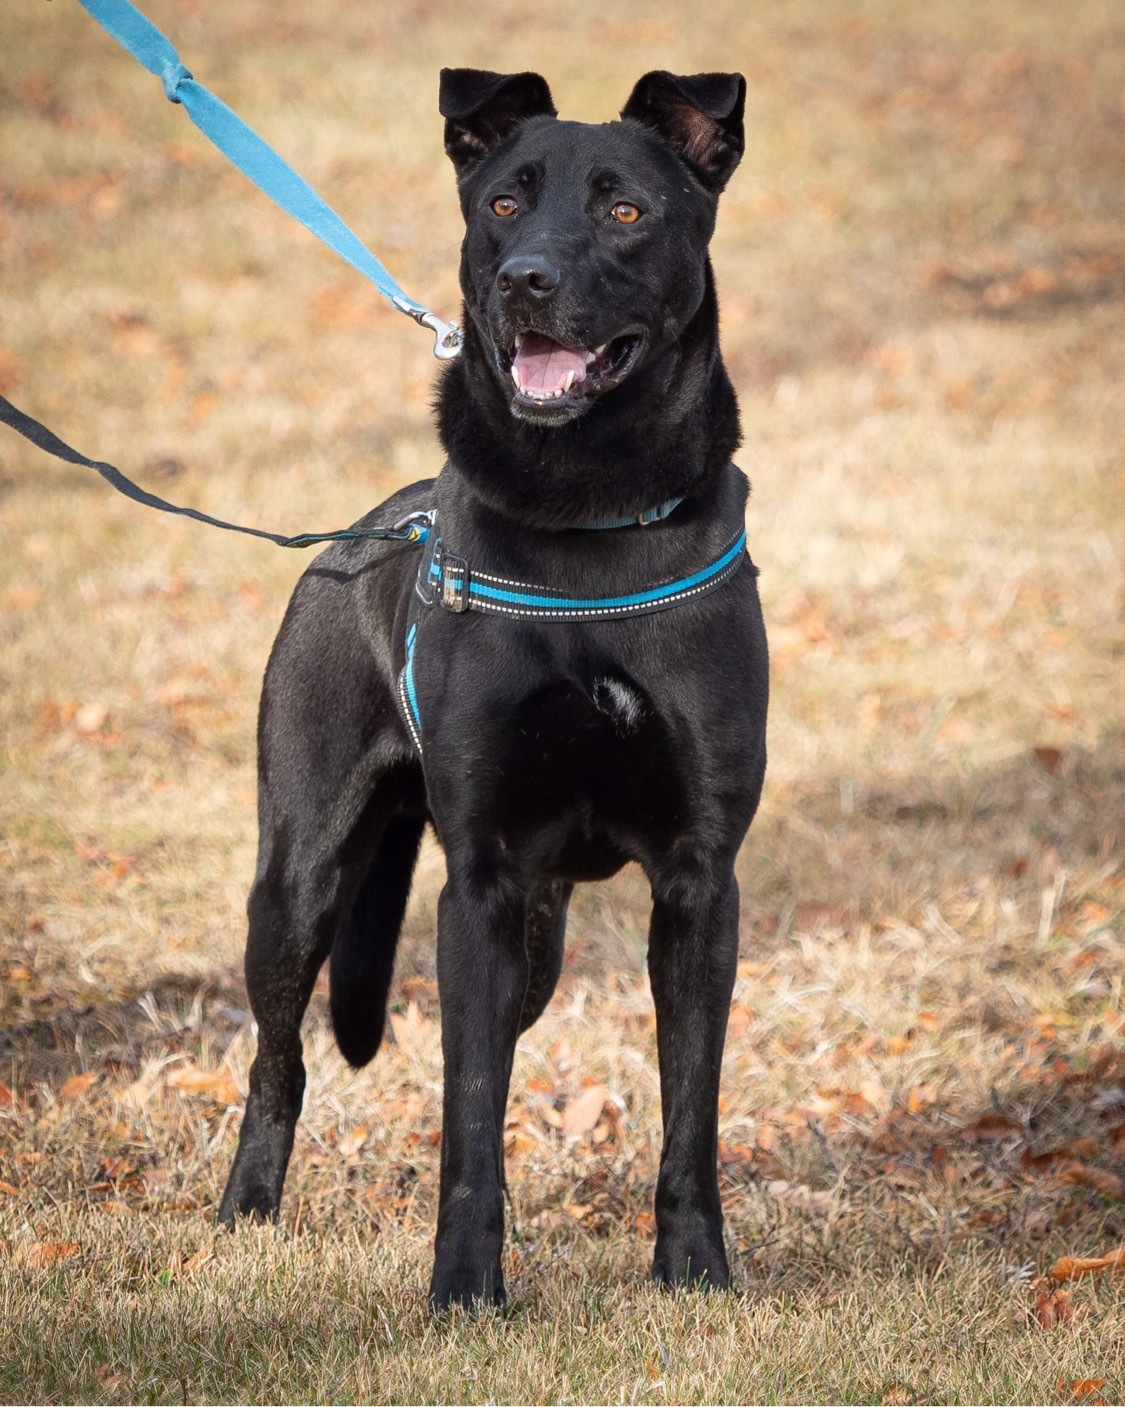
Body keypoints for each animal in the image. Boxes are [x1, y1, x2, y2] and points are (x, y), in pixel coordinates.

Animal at [216, 66, 770, 1311]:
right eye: (505, 203)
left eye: (626, 211)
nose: (526, 282)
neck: (588, 517)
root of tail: (366, 529)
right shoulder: (476, 883)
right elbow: (469, 1115)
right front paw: (465, 1287)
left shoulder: (699, 883)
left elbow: (692, 1108)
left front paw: (695, 1273)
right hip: (301, 878)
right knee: (280, 1057)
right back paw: (243, 1213)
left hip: (539, 939)